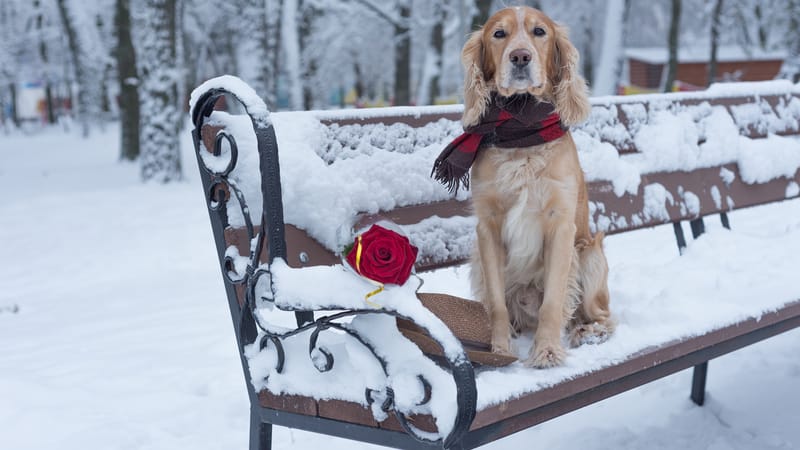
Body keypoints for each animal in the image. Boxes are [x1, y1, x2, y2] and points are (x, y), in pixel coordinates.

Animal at [456, 5, 612, 368]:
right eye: (498, 34)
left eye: (539, 32)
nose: (520, 56)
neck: (521, 132)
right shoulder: (488, 229)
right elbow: (497, 305)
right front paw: (499, 350)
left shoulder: (561, 227)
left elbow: (553, 301)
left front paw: (547, 351)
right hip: (478, 262)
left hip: (590, 253)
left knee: (602, 315)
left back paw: (588, 331)